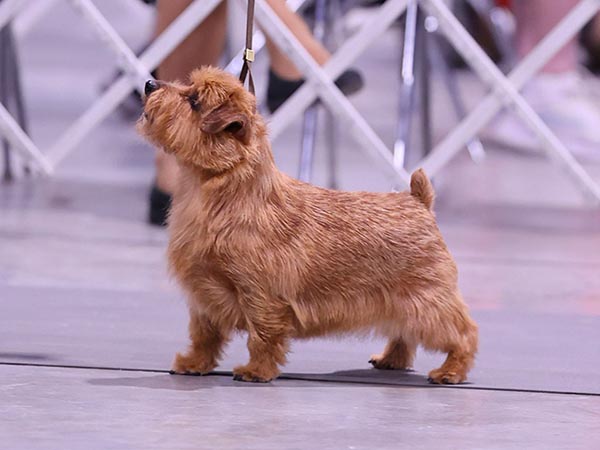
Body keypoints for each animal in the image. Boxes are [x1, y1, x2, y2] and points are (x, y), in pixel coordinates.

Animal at [139, 66, 478, 384]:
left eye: (193, 101)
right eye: (187, 87)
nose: (149, 83)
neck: (221, 194)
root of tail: (419, 202)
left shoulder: (260, 294)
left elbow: (263, 335)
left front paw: (256, 371)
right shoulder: (204, 295)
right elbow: (204, 335)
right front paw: (194, 363)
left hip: (427, 301)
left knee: (463, 332)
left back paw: (451, 370)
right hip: (403, 303)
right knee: (404, 332)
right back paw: (391, 359)